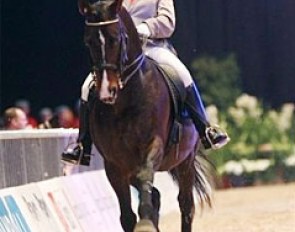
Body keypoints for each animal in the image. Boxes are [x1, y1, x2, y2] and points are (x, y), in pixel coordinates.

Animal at [78, 0, 212, 231]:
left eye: (116, 38)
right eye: (88, 42)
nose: (106, 91)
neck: (123, 103)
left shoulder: (153, 146)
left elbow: (145, 178)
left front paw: (146, 222)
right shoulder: (114, 164)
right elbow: (127, 216)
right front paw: (144, 221)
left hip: (185, 160)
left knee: (186, 205)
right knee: (156, 195)